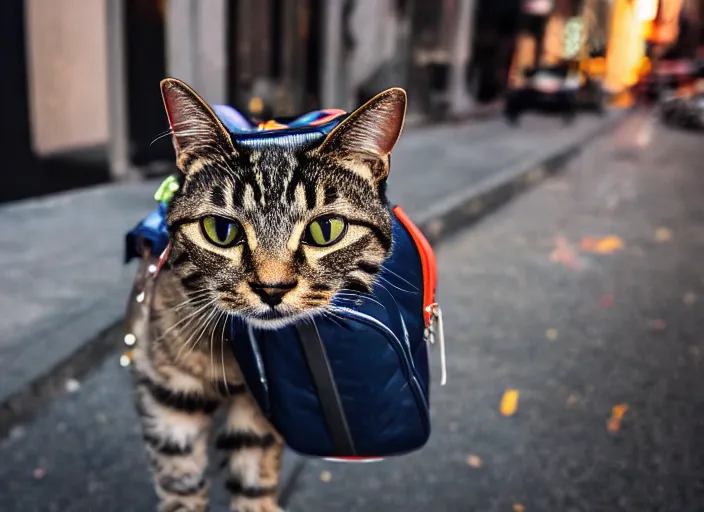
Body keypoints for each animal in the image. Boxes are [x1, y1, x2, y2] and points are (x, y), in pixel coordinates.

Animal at [131, 77, 408, 512]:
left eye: (325, 230)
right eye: (221, 231)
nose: (271, 288)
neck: (230, 359)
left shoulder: (259, 412)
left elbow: (253, 486)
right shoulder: (167, 399)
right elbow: (181, 487)